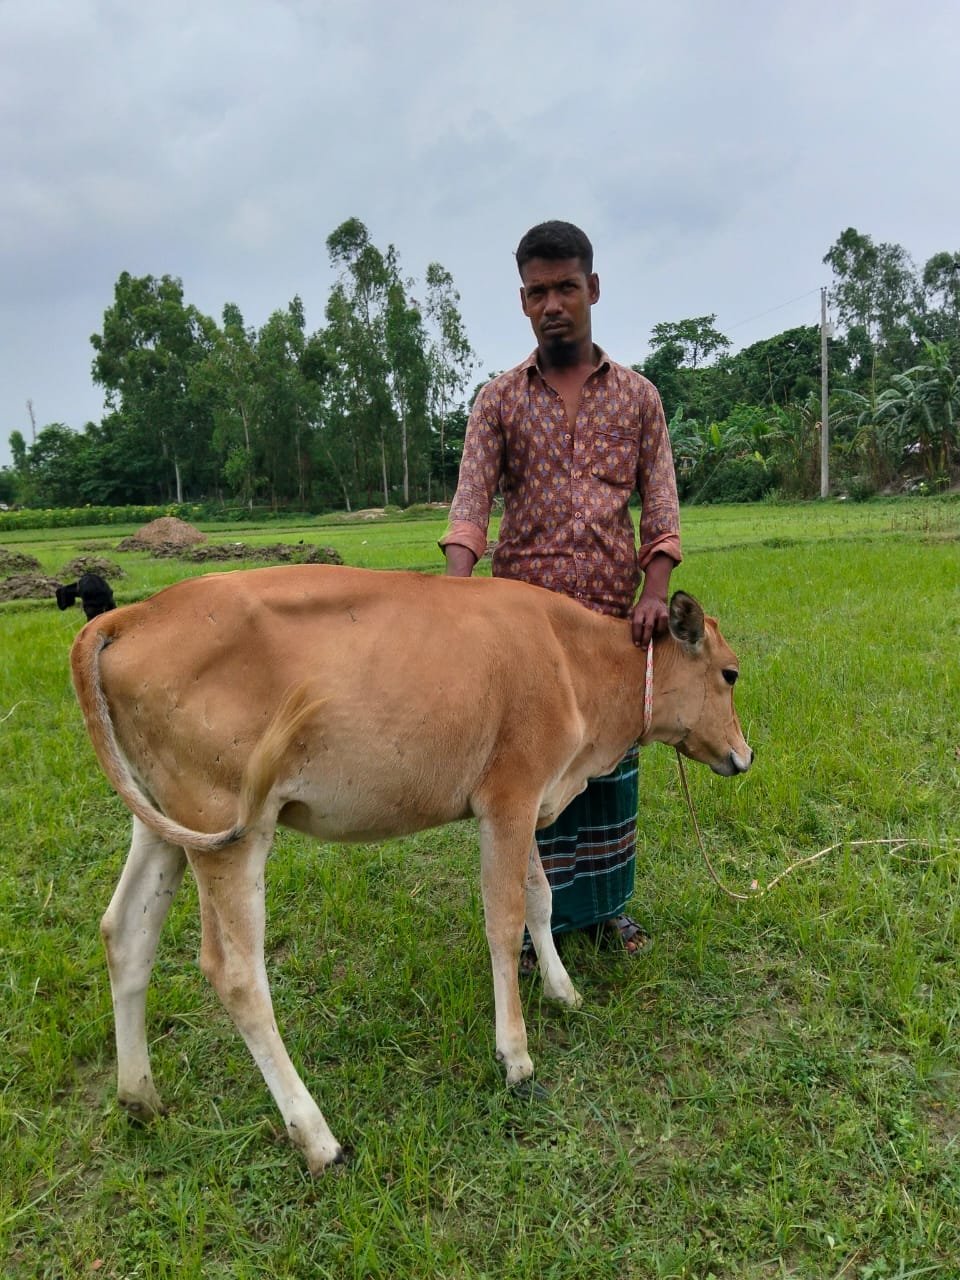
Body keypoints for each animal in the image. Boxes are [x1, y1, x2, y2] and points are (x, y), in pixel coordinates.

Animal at [69, 564, 752, 1172]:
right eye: (730, 673)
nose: (745, 756)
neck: (574, 658)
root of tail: (133, 614)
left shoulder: (528, 799)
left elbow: (541, 898)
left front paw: (563, 991)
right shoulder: (509, 797)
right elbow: (505, 920)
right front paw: (516, 1056)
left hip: (162, 823)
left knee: (125, 933)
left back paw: (140, 1097)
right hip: (227, 829)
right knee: (235, 973)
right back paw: (317, 1138)